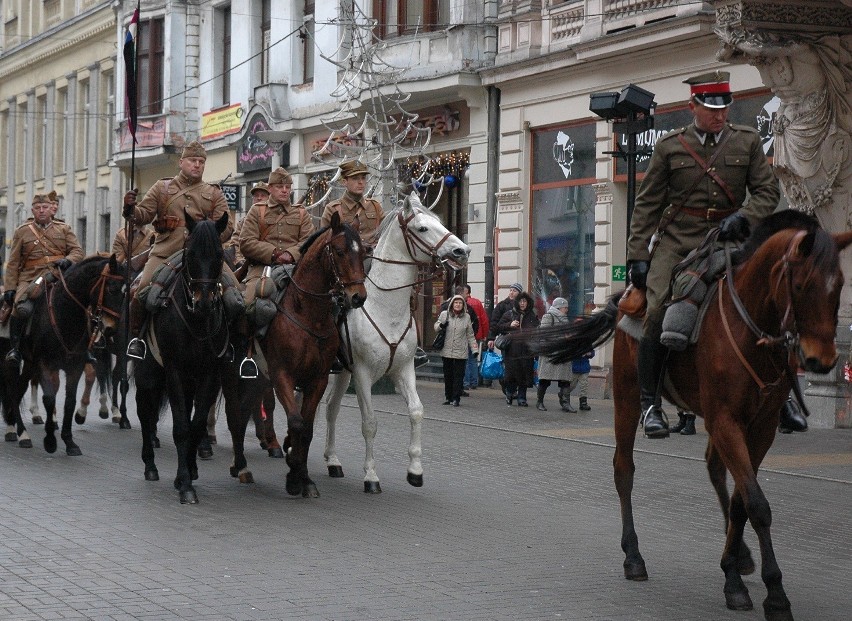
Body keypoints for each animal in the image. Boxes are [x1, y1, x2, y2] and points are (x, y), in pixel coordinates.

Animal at [1, 254, 127, 452]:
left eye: (125, 292)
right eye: (111, 288)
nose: (111, 329)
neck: (65, 315)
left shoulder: (75, 366)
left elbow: (69, 402)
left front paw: (69, 441)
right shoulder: (45, 364)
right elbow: (49, 398)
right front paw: (50, 440)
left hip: (29, 363)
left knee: (19, 389)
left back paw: (16, 427)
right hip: (12, 361)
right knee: (13, 389)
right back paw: (19, 432)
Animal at [131, 211, 230, 502]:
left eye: (219, 254)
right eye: (190, 253)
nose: (204, 302)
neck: (197, 323)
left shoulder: (209, 375)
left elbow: (195, 424)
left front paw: (188, 473)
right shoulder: (174, 371)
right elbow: (181, 428)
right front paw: (185, 484)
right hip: (149, 375)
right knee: (145, 413)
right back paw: (150, 466)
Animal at [223, 211, 366, 496]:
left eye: (363, 252)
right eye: (340, 251)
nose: (358, 297)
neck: (309, 316)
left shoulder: (317, 380)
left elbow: (307, 429)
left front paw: (304, 478)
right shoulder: (282, 377)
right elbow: (296, 423)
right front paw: (293, 472)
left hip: (256, 380)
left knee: (243, 414)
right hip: (232, 376)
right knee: (234, 416)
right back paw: (241, 466)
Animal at [322, 191, 470, 492]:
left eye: (439, 221)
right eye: (422, 228)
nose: (462, 251)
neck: (385, 308)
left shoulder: (404, 369)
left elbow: (416, 411)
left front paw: (415, 470)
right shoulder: (363, 374)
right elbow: (369, 422)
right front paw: (371, 476)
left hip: (342, 372)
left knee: (330, 409)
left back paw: (332, 461)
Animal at [516, 209, 852, 620]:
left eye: (840, 286)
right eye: (802, 285)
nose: (822, 360)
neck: (750, 326)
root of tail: (627, 296)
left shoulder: (761, 427)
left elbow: (742, 500)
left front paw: (734, 574)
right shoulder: (726, 419)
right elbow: (756, 504)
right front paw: (774, 594)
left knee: (714, 469)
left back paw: (740, 555)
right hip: (628, 398)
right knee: (624, 470)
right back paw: (634, 556)